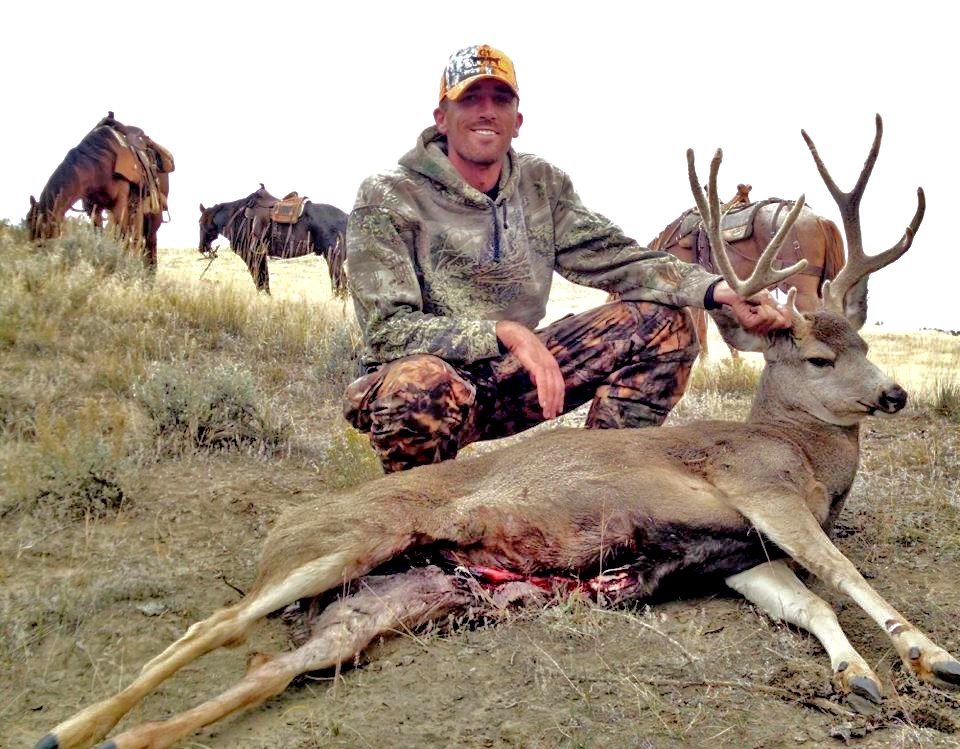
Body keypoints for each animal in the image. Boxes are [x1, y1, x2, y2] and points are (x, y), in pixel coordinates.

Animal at [26, 114, 172, 268]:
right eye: (28, 223)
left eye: (38, 227)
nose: (34, 257)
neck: (97, 165)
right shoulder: (93, 208)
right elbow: (99, 235)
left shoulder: (119, 205)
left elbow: (120, 237)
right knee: (137, 239)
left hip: (153, 213)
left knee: (150, 241)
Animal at [199, 183, 348, 296]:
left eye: (199, 222)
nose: (202, 248)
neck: (236, 218)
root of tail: (347, 217)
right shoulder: (259, 254)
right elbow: (263, 278)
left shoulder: (250, 255)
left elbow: (259, 278)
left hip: (333, 258)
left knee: (340, 282)